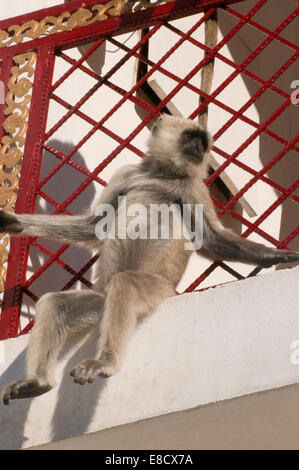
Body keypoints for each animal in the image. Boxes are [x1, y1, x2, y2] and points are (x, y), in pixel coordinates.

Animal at [1, 114, 299, 404]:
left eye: (203, 142)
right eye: (191, 138)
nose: (200, 149)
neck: (162, 175)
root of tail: (106, 299)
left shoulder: (194, 187)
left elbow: (211, 240)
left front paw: (276, 255)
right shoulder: (127, 174)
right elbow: (92, 226)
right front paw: (15, 223)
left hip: (158, 290)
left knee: (125, 284)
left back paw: (104, 363)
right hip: (100, 303)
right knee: (56, 303)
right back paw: (39, 382)